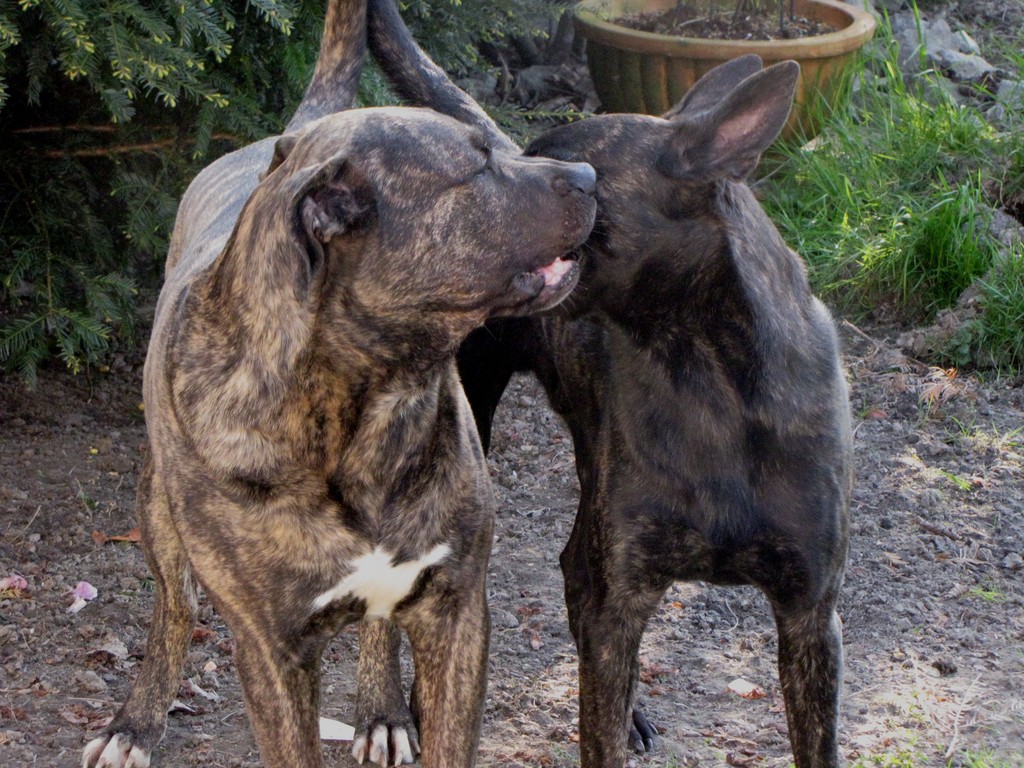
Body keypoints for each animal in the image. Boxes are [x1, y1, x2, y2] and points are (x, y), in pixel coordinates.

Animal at [83, 1, 598, 768]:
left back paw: (380, 708)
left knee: (379, 627)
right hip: (157, 510)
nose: (591, 174)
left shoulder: (457, 613)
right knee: (173, 609)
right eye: (478, 166)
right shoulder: (272, 652)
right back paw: (137, 720)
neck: (367, 396)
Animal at [364, 3, 851, 765]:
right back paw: (385, 710)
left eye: (578, 172)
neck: (710, 381)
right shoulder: (621, 601)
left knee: (570, 567)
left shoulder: (809, 614)